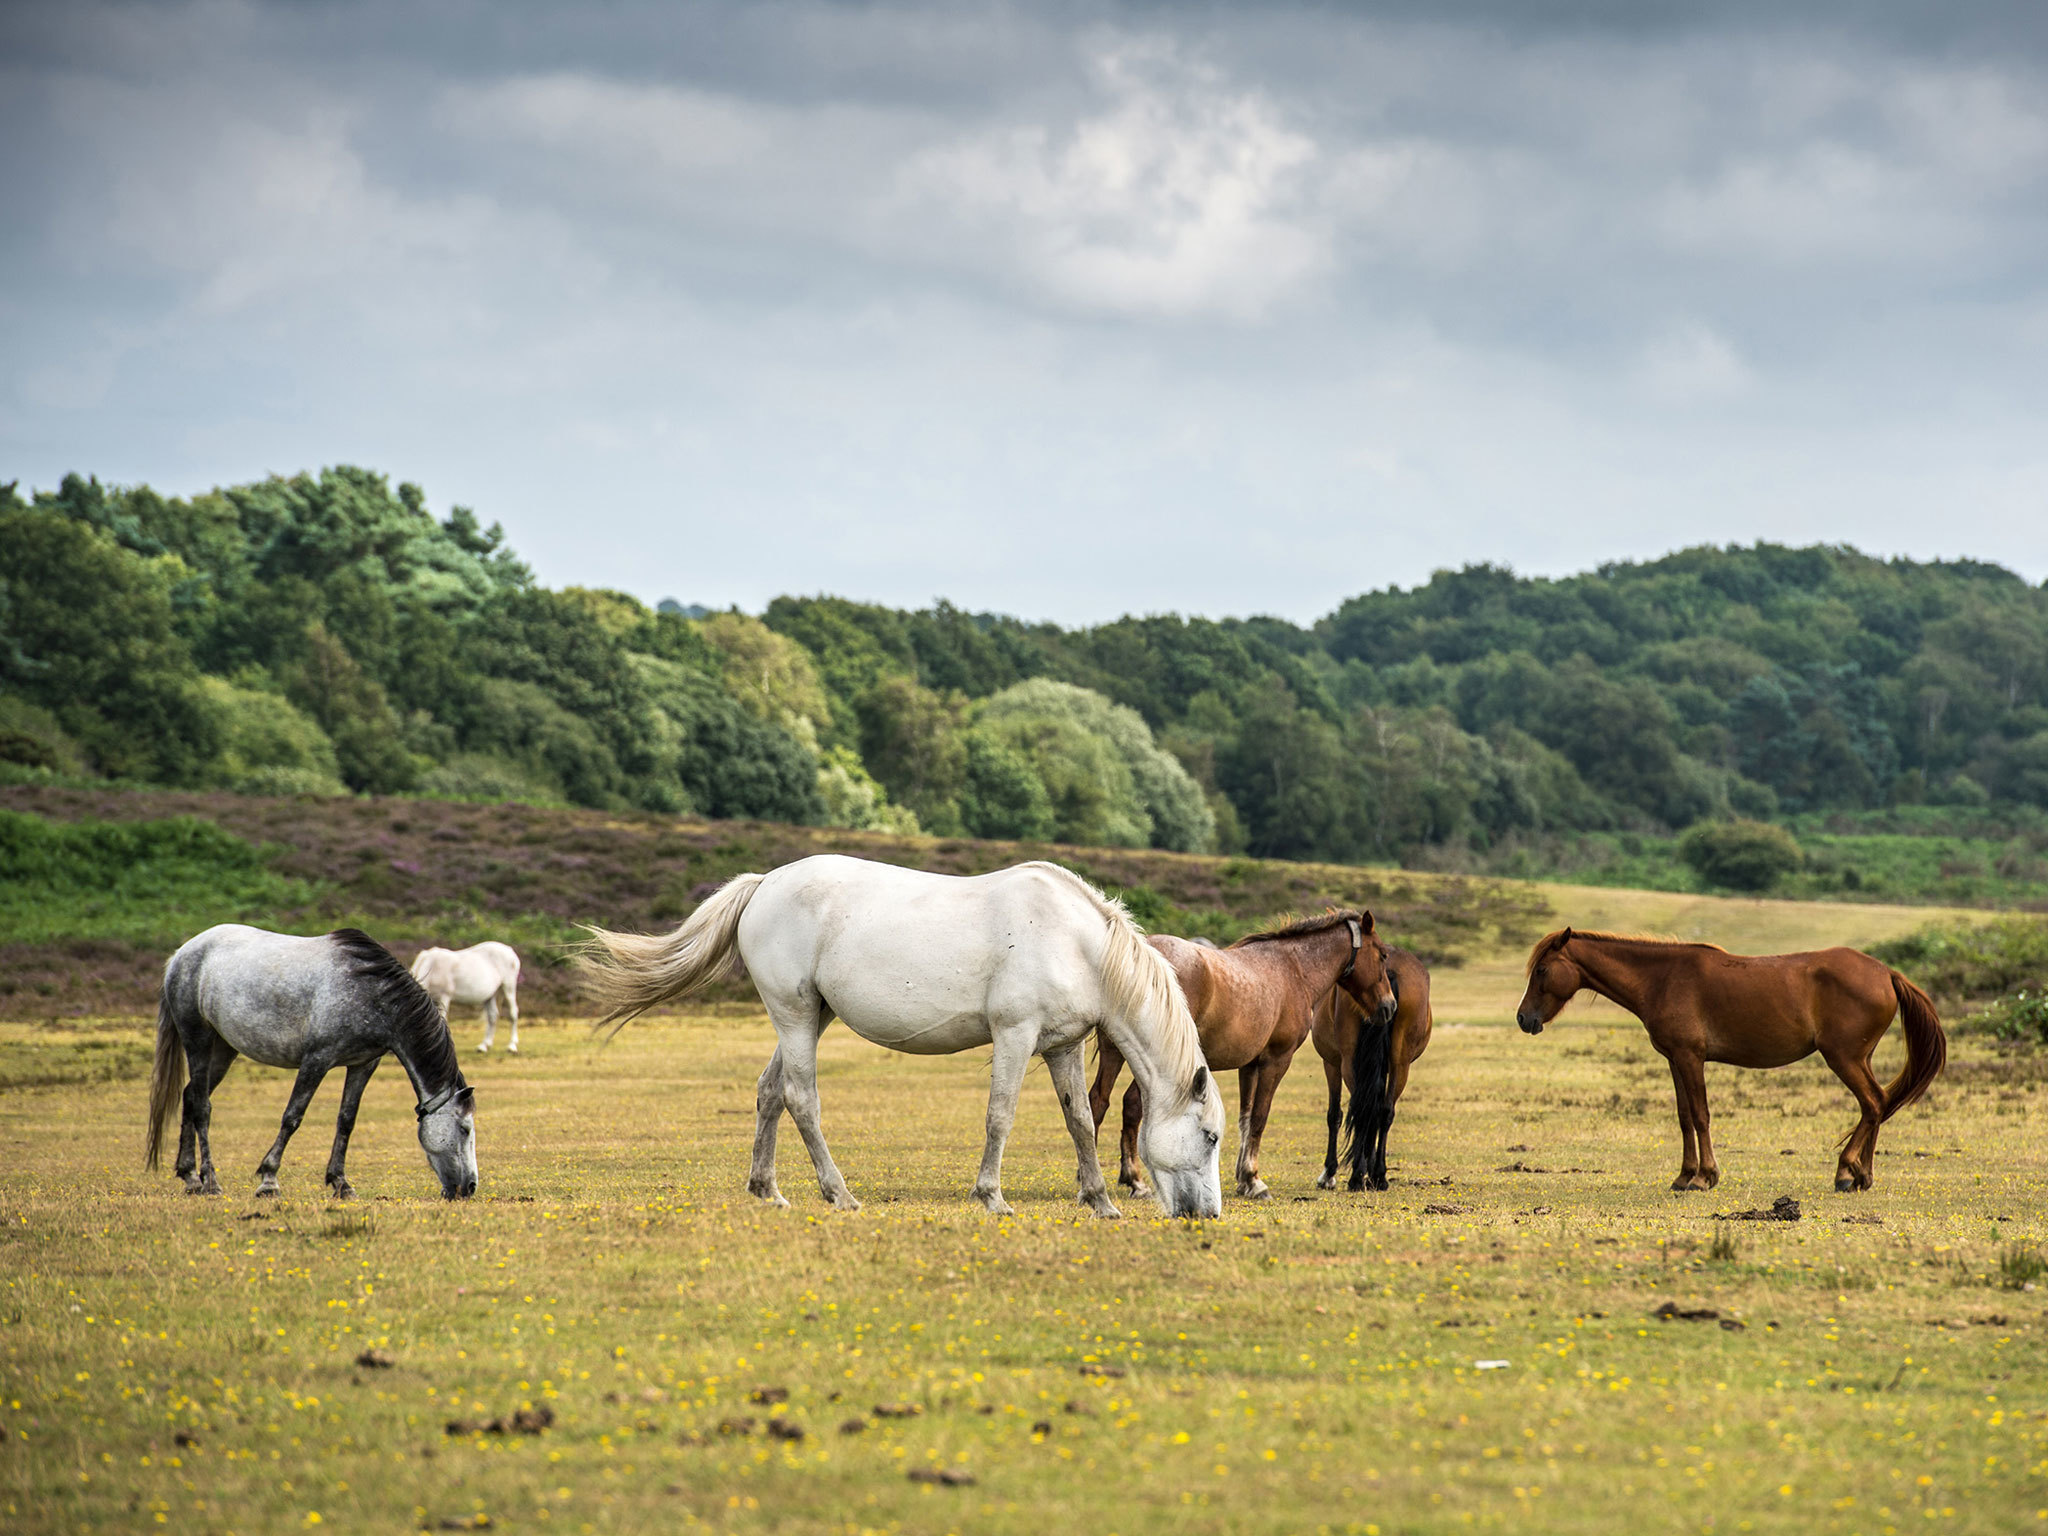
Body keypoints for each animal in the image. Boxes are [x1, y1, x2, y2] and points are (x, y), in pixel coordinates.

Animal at [148, 925, 475, 1204]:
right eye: (465, 1129)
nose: (470, 1187)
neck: (371, 993)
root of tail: (181, 954)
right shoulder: (316, 1060)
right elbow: (293, 1117)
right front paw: (269, 1180)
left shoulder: (363, 1065)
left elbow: (346, 1121)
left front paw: (341, 1183)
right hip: (198, 1041)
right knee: (202, 1107)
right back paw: (211, 1181)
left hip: (223, 1049)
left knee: (191, 1096)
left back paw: (191, 1177)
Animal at [585, 860, 1220, 1220]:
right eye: (1211, 1136)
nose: (1207, 1214)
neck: (1077, 941)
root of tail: (764, 883)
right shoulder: (1014, 1036)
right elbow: (1000, 1117)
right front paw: (991, 1196)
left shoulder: (1061, 1046)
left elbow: (1081, 1121)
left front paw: (1101, 1201)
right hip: (795, 1016)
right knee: (801, 1099)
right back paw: (838, 1194)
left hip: (809, 1017)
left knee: (769, 1092)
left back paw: (768, 1190)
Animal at [1081, 913, 1400, 1204]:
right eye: (1383, 955)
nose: (1390, 1006)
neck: (1294, 970)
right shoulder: (1276, 1062)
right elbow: (1259, 1118)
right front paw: (1254, 1180)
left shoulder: (1249, 1066)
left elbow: (1245, 1120)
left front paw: (1243, 1180)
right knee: (1131, 1106)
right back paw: (1133, 1180)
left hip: (1115, 1053)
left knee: (1098, 1101)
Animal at [1318, 946, 1433, 1196]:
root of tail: (1389, 967)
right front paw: (1371, 1172)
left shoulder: (1331, 1063)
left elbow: (1334, 1115)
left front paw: (1329, 1174)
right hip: (1400, 1064)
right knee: (1383, 1111)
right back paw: (1378, 1175)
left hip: (1349, 1063)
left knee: (1362, 1109)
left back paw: (1356, 1177)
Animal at [1515, 933, 1941, 1196]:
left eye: (1542, 970)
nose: (1523, 1018)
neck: (1662, 978)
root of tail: (1887, 973)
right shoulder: (1675, 1060)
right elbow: (1684, 1116)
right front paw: (1684, 1175)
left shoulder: (1691, 1058)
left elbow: (1701, 1115)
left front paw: (1705, 1177)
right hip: (1858, 1059)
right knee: (1878, 1104)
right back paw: (1863, 1175)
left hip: (1844, 1058)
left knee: (1872, 1102)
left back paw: (1845, 1171)